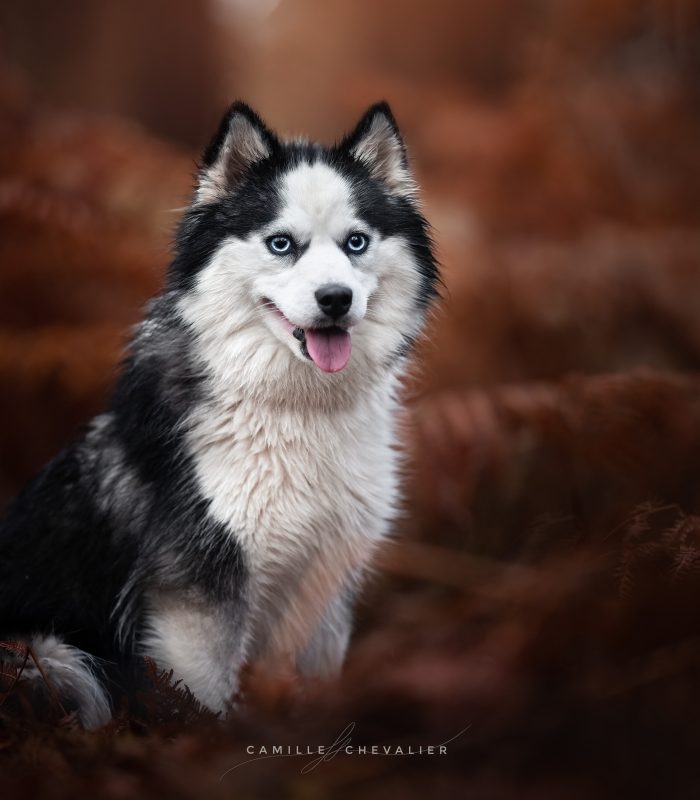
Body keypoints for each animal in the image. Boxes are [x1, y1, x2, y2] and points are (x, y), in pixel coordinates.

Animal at [0, 100, 438, 724]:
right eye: (281, 244)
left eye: (356, 242)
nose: (336, 299)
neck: (297, 409)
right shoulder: (197, 600)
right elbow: (205, 699)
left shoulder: (325, 582)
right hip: (54, 661)